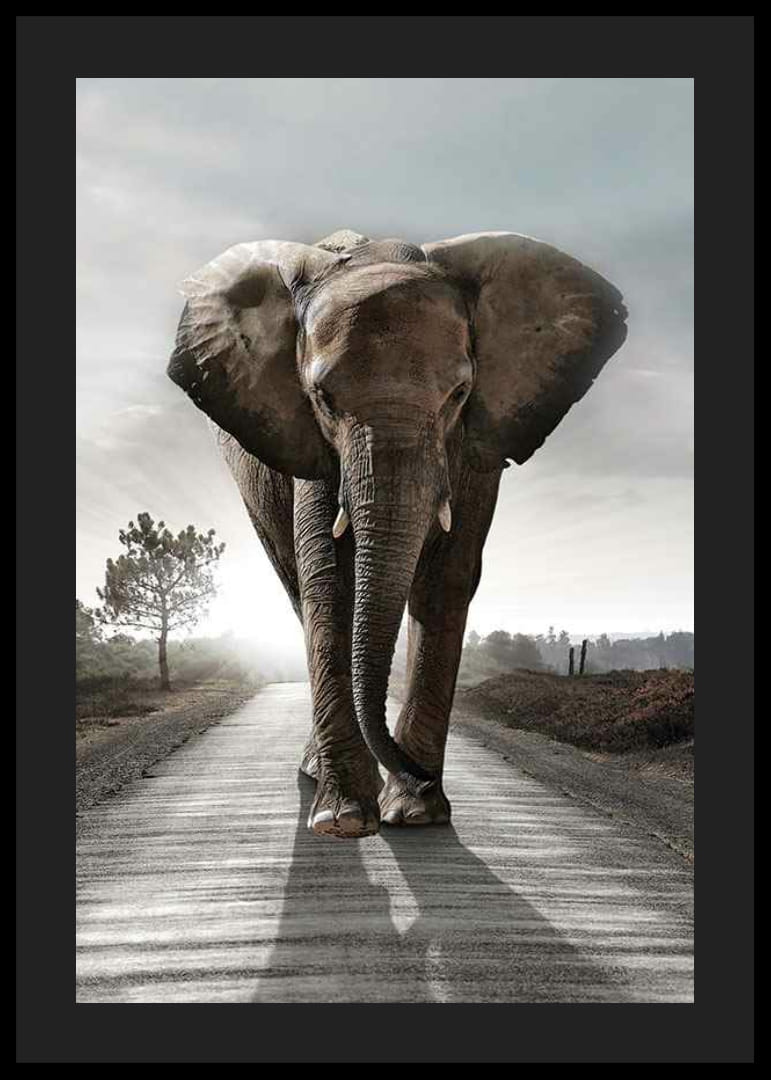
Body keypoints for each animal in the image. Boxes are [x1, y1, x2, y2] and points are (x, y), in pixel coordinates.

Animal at [167, 228, 627, 839]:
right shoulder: (311, 447)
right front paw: (344, 820)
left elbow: (447, 580)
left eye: (459, 394)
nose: (421, 776)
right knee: (296, 589)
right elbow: (329, 582)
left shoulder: (475, 446)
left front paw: (415, 813)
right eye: (322, 398)